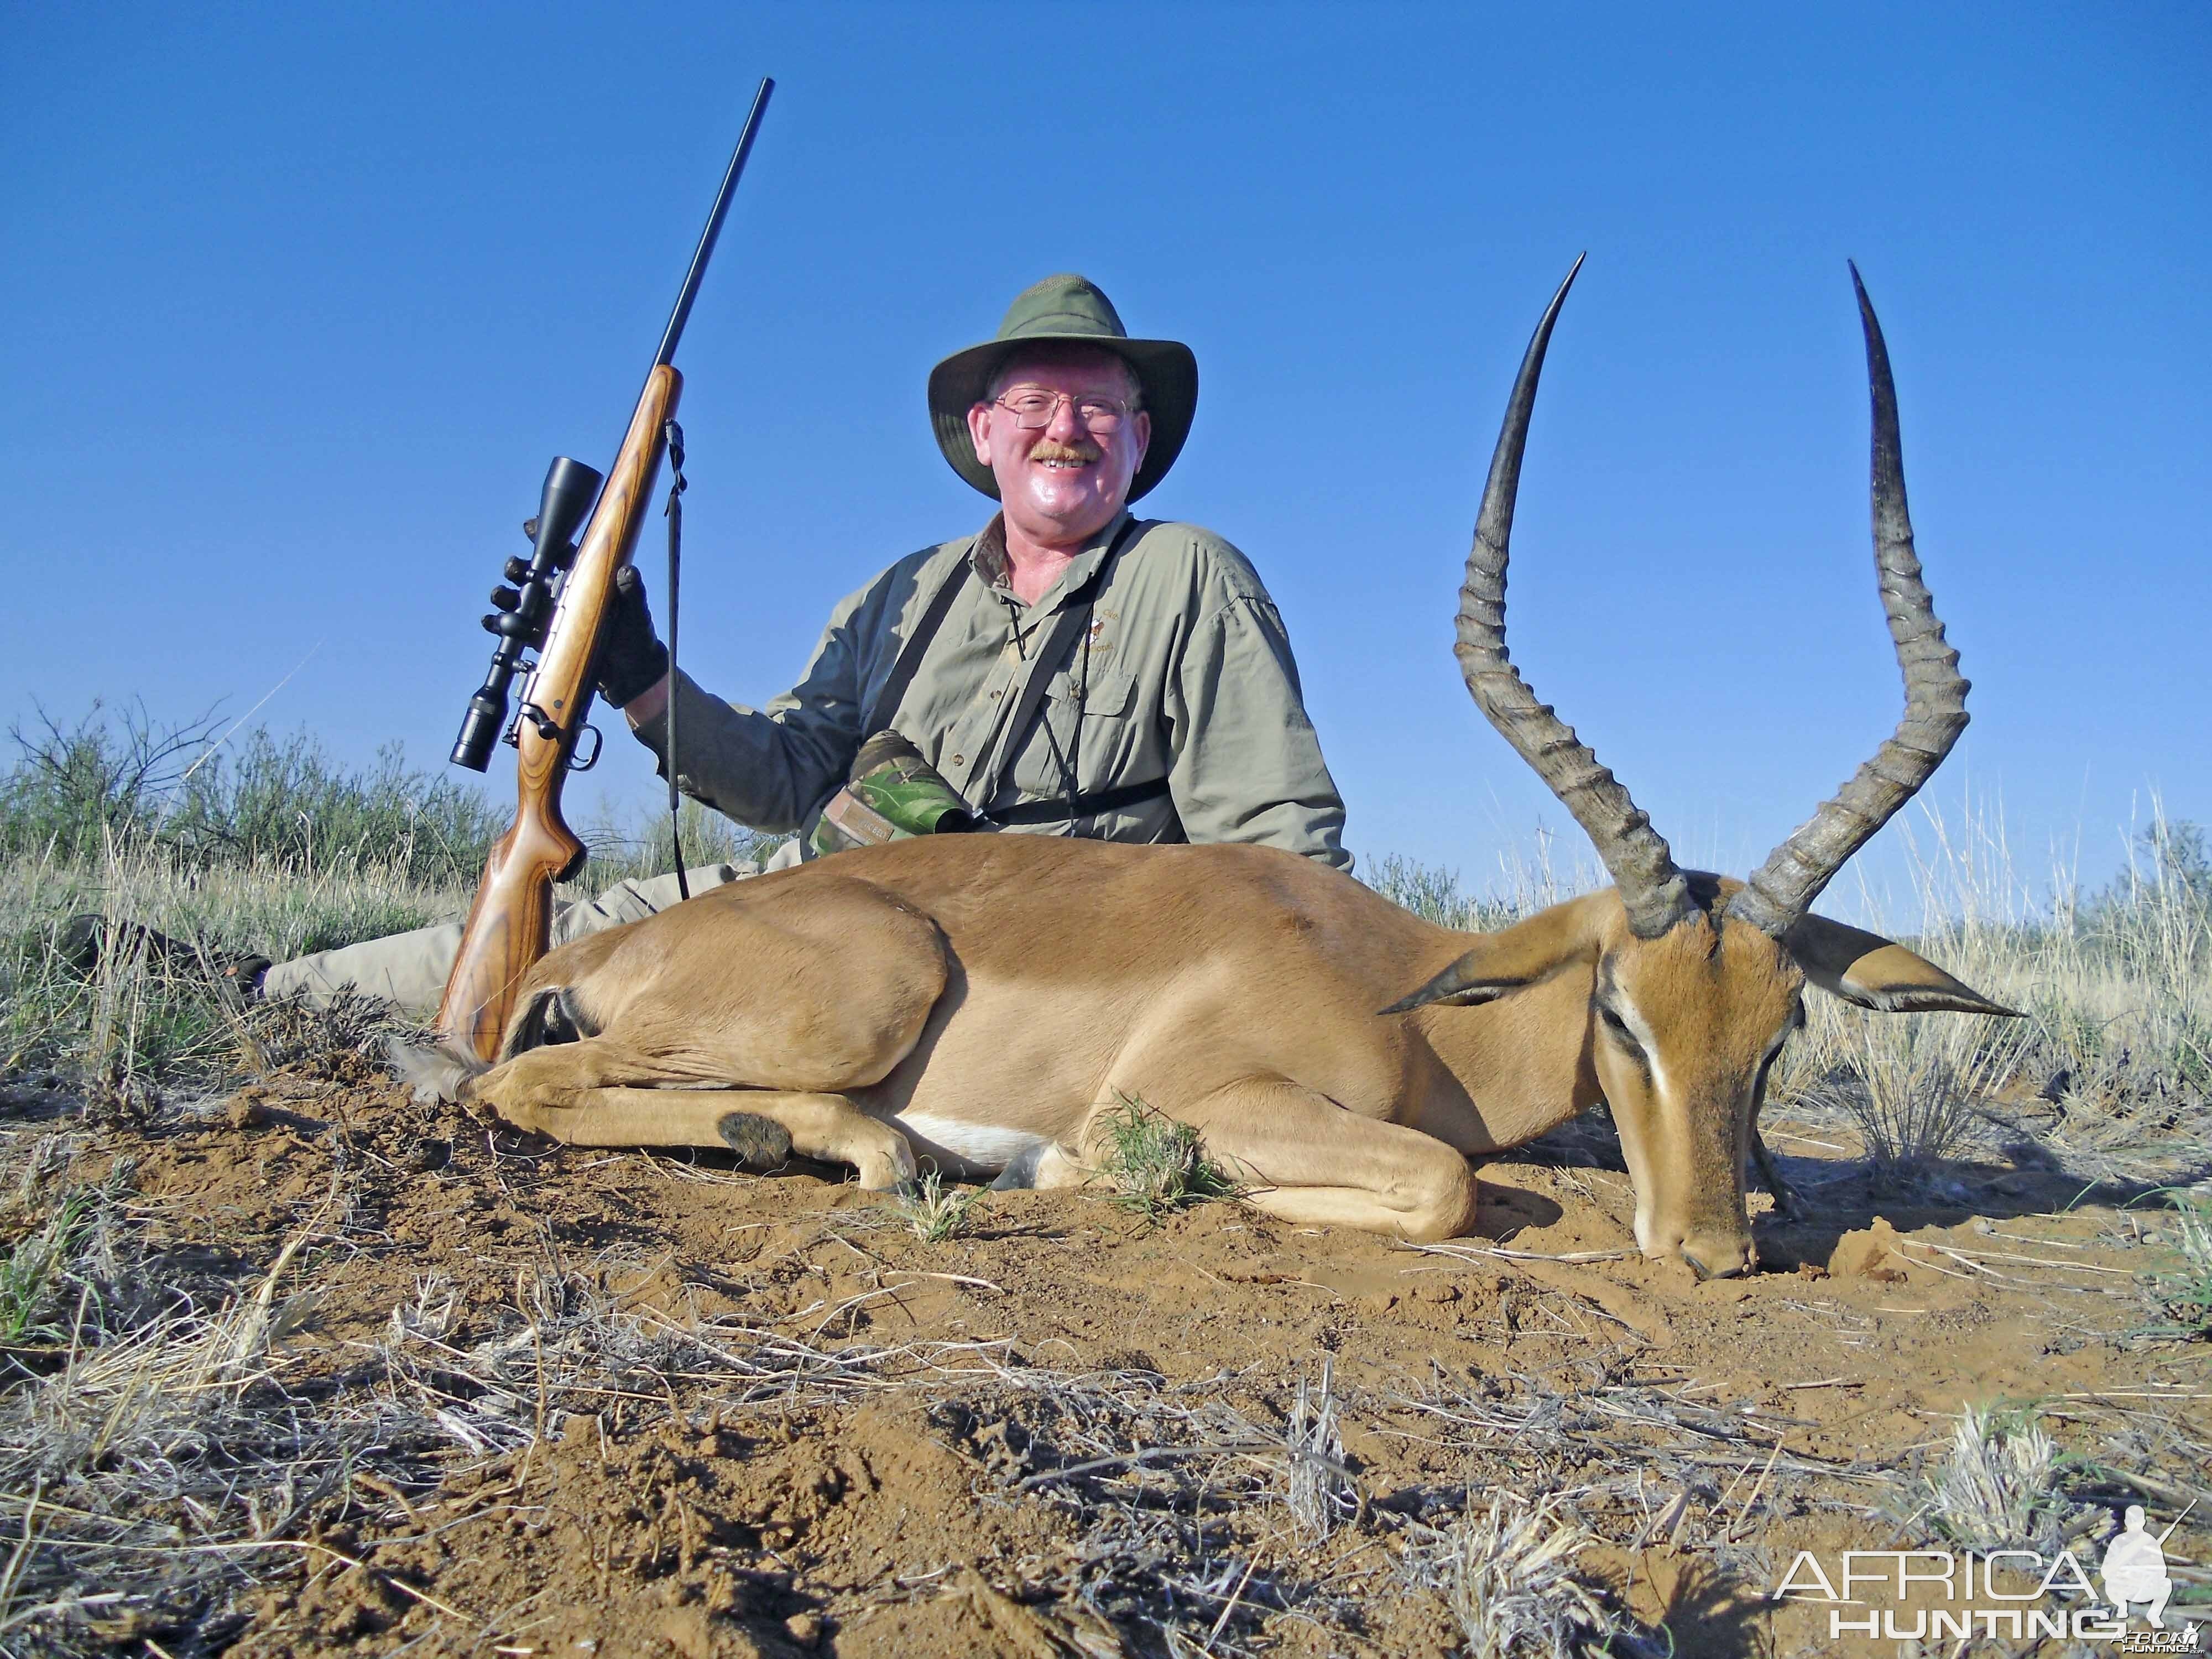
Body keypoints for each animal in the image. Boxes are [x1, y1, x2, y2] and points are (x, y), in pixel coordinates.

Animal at [389, 260, 2017, 1283]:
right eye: (1621, 1011)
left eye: (1781, 1027)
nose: (1710, 1253)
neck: (1404, 991)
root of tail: (632, 941)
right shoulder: (1208, 1097)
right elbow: (1442, 1185)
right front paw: (1071, 1176)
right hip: (871, 988)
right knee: (527, 1083)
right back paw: (870, 1150)